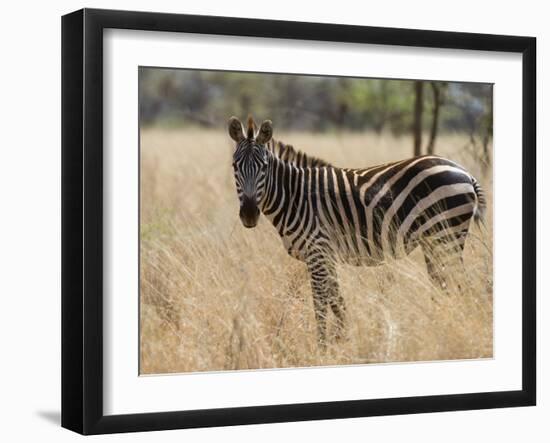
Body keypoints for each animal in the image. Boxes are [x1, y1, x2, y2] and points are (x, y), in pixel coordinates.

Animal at [229, 114, 488, 346]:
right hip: (435, 241)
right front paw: (343, 339)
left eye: (264, 167)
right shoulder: (326, 256)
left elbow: (320, 303)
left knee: (459, 285)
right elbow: (337, 301)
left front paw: (322, 347)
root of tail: (466, 173)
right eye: (234, 166)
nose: (249, 215)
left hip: (446, 236)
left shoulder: (317, 250)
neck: (295, 196)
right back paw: (437, 325)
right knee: (443, 285)